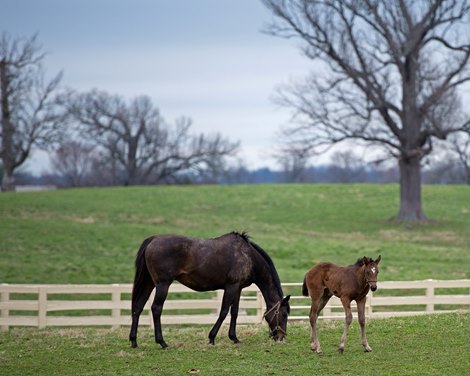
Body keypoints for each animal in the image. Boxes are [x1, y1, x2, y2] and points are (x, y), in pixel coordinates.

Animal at [129, 232, 290, 350]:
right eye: (283, 314)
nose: (281, 338)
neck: (247, 255)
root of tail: (153, 240)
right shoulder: (231, 287)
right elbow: (224, 312)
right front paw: (212, 338)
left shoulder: (238, 288)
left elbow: (235, 312)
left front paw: (234, 338)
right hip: (162, 284)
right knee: (156, 309)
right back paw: (162, 342)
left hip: (149, 283)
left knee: (138, 307)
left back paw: (134, 342)